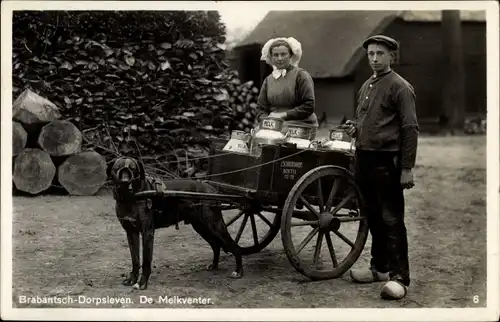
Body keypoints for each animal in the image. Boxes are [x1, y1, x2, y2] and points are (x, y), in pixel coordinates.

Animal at [110, 156, 244, 290]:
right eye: (117, 168)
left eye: (133, 169)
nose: (125, 181)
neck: (131, 198)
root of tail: (212, 189)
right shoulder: (131, 233)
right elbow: (135, 260)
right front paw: (132, 278)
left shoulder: (147, 232)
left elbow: (146, 261)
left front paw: (142, 282)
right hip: (202, 227)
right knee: (216, 245)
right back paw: (214, 265)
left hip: (215, 225)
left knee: (236, 248)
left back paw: (238, 272)